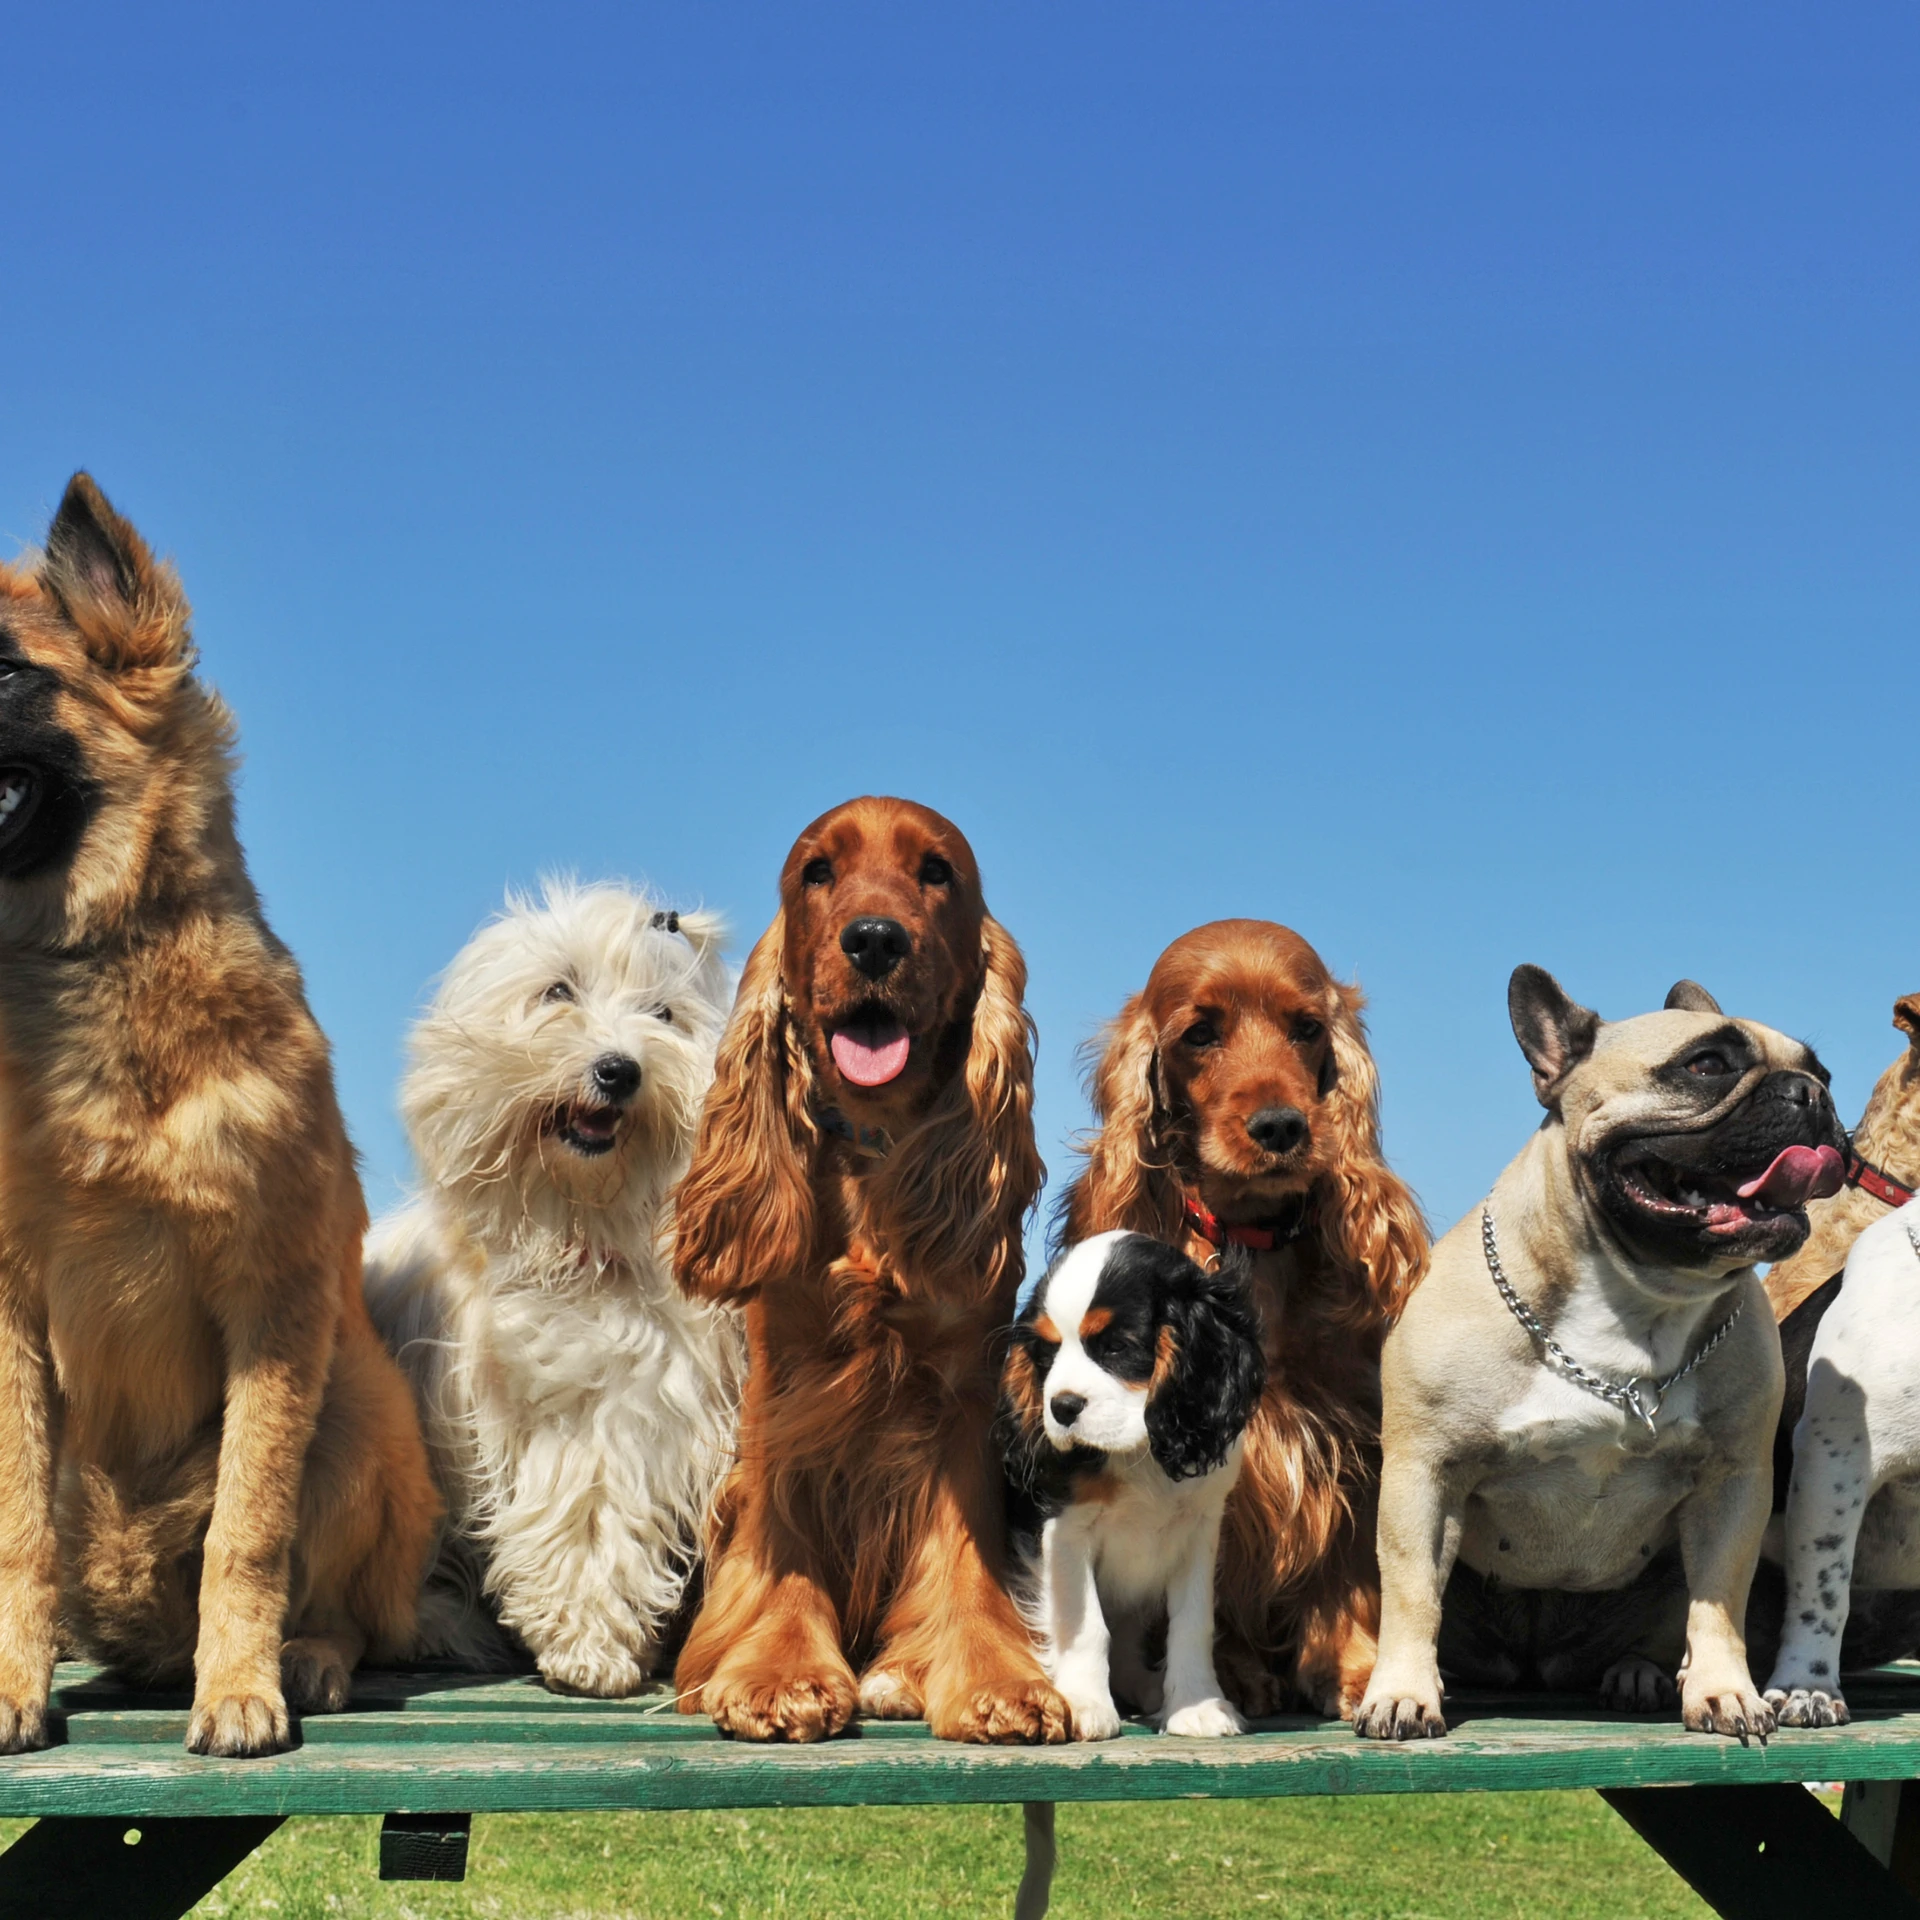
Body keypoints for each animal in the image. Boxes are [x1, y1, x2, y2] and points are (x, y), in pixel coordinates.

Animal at [0, 476, 437, 1758]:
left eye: (3, 671)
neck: (102, 963)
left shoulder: (275, 1303)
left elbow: (250, 1528)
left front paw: (238, 1687)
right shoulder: (10, 1317)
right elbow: (14, 1530)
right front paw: (11, 1685)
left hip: (356, 1406)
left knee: (337, 1600)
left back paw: (306, 1658)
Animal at [366, 883, 741, 1697]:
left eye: (664, 1014)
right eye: (559, 991)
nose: (620, 1070)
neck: (576, 1229)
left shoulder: (646, 1400)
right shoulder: (573, 1415)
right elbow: (587, 1512)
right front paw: (590, 1647)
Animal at [998, 1228, 1267, 1743]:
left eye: (1116, 1348)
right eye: (1046, 1355)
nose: (1061, 1406)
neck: (1139, 1447)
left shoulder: (1200, 1530)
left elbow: (1192, 1623)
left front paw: (1196, 1705)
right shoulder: (1065, 1531)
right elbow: (1085, 1625)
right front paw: (1084, 1704)